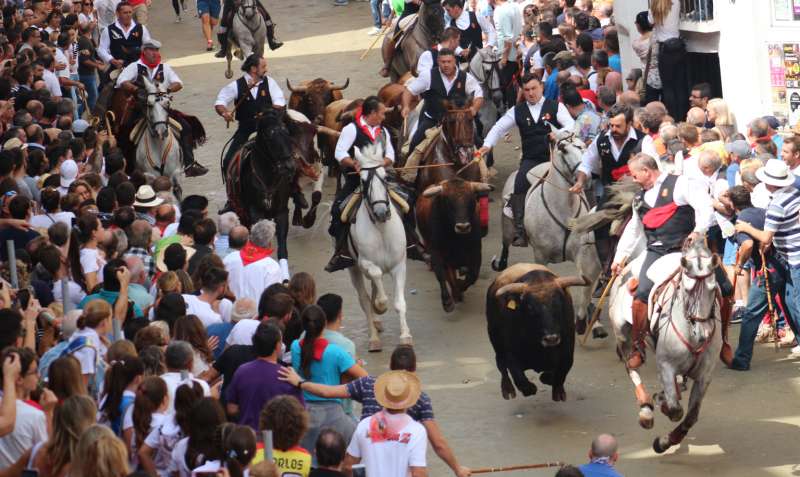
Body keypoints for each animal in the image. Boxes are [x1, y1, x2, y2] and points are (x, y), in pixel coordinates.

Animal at [227, 107, 296, 260]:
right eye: (269, 136)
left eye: (287, 132)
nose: (289, 166)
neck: (268, 179)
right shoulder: (255, 212)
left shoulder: (282, 213)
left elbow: (283, 250)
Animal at [348, 141, 410, 350]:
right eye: (362, 180)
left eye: (385, 177)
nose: (382, 212)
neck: (381, 229)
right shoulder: (364, 263)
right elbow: (375, 280)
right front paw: (381, 305)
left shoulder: (399, 265)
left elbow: (399, 302)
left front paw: (405, 335)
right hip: (353, 269)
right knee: (364, 299)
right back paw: (374, 337)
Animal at [484, 264, 592, 402]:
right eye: (530, 307)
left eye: (559, 304)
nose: (551, 338)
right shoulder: (510, 352)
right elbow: (518, 375)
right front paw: (529, 389)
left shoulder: (567, 350)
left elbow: (560, 370)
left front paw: (558, 391)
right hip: (494, 338)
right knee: (501, 364)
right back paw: (507, 390)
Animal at [494, 128, 600, 332]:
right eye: (563, 148)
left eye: (583, 146)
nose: (588, 177)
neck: (564, 208)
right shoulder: (541, 256)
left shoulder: (582, 253)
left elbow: (587, 283)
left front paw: (590, 321)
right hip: (507, 226)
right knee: (505, 243)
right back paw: (500, 261)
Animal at [608, 240, 720, 452]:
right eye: (687, 289)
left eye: (713, 289)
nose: (703, 334)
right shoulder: (666, 365)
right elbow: (676, 410)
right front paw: (663, 412)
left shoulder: (705, 376)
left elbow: (690, 416)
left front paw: (665, 440)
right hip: (623, 335)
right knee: (631, 368)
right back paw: (646, 409)